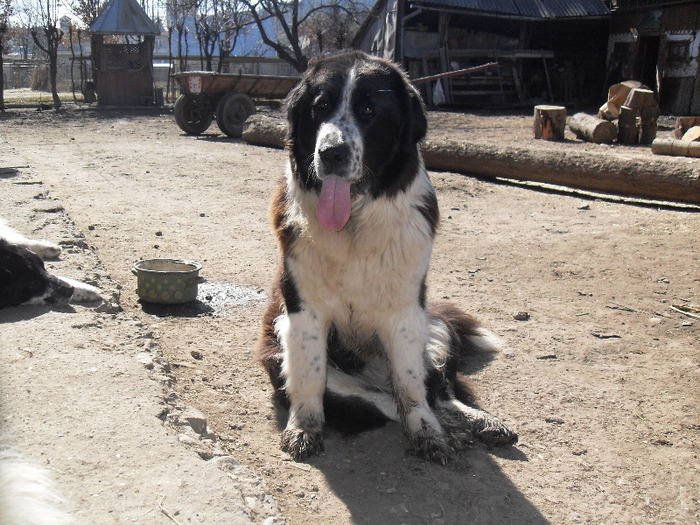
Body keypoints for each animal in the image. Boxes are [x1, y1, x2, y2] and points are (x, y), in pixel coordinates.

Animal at [254, 52, 516, 462]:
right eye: (319, 108)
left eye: (368, 111)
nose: (331, 153)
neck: (355, 226)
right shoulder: (301, 315)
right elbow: (309, 378)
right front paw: (304, 427)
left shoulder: (406, 314)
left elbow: (411, 387)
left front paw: (428, 433)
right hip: (283, 346)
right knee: (379, 399)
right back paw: (459, 429)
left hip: (435, 329)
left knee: (436, 390)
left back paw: (476, 421)